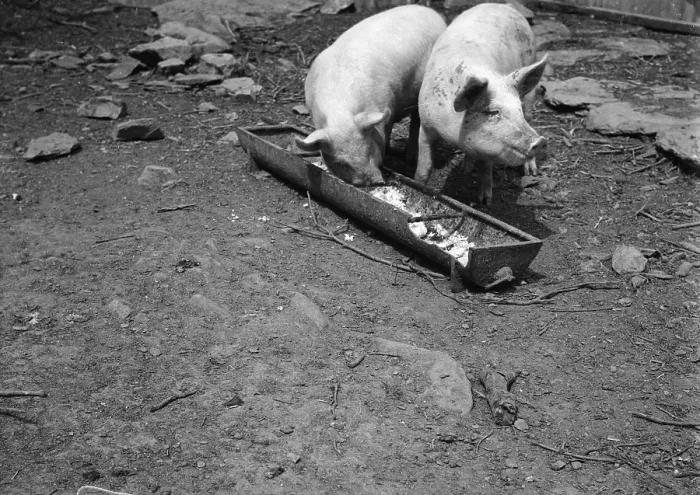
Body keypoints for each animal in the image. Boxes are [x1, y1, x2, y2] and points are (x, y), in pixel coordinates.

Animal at [295, 5, 446, 186]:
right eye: (341, 163)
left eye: (369, 148)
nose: (374, 181)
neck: (340, 111)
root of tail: (432, 11)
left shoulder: (387, 102)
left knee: (416, 122)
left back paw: (410, 158)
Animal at [414, 3, 548, 205]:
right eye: (492, 112)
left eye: (517, 110)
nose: (539, 141)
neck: (454, 135)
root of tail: (505, 6)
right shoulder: (426, 123)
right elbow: (424, 165)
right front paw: (419, 186)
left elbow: (486, 166)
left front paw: (484, 202)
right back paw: (465, 167)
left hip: (530, 88)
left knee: (531, 117)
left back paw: (531, 171)